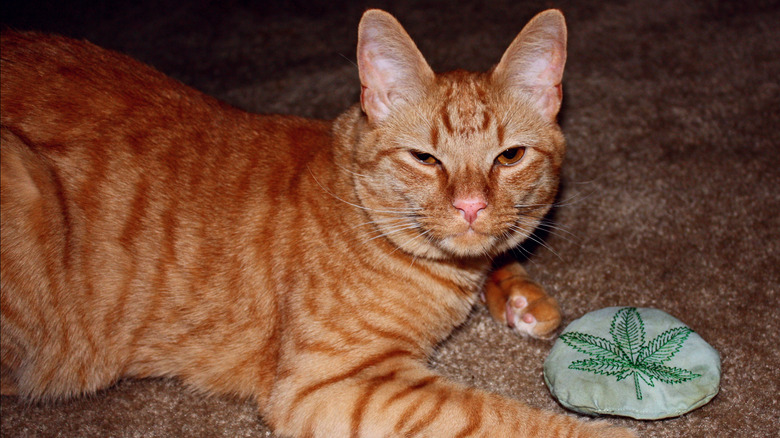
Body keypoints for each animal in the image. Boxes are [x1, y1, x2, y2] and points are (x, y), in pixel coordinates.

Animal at [0, 6, 632, 438]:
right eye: (425, 159)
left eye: (510, 157)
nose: (471, 207)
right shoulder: (333, 384)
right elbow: (498, 417)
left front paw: (521, 295)